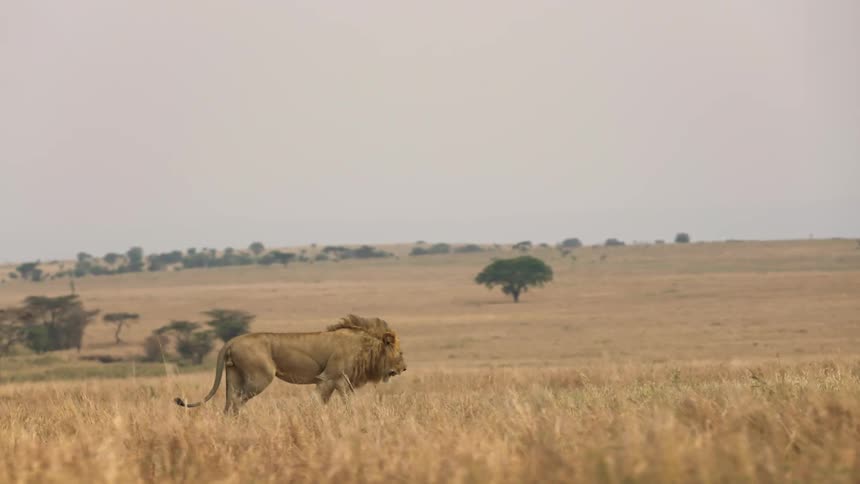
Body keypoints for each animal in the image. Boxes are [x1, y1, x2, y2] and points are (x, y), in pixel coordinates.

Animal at [174, 314, 406, 414]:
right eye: (400, 352)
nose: (404, 368)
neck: (365, 347)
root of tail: (231, 341)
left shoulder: (339, 381)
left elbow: (342, 402)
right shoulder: (331, 377)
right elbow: (321, 401)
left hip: (233, 376)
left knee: (229, 401)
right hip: (260, 377)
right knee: (239, 401)